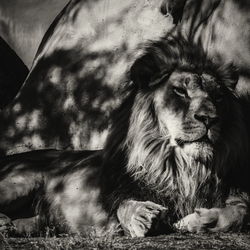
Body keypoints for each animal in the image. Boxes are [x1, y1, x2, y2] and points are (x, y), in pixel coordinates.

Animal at [0, 31, 249, 236]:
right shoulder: (116, 190)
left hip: (36, 221)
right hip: (21, 182)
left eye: (218, 97)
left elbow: (240, 212)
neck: (183, 167)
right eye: (180, 91)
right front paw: (142, 216)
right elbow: (125, 204)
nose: (209, 119)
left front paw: (197, 221)